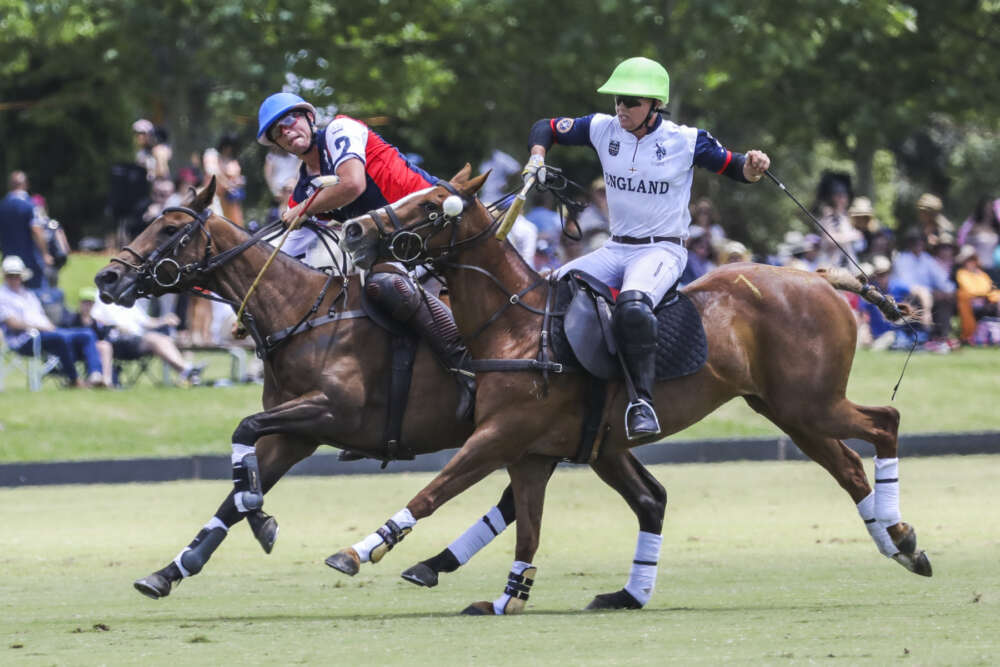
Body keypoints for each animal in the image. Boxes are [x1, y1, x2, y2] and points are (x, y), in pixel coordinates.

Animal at [94, 180, 668, 604]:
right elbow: (236, 486)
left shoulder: (328, 413)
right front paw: (174, 568)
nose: (107, 278)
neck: (301, 314)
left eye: (169, 227)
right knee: (621, 495)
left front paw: (260, 517)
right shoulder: (296, 433)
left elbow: (244, 435)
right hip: (567, 437)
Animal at [334, 166, 928, 616]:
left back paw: (900, 534)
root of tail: (822, 278)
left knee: (886, 421)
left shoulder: (502, 434)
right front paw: (507, 598)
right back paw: (899, 544)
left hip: (812, 402)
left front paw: (360, 551)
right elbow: (528, 528)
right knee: (847, 466)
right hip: (788, 409)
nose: (356, 231)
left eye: (433, 204)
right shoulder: (530, 454)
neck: (518, 325)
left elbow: (435, 490)